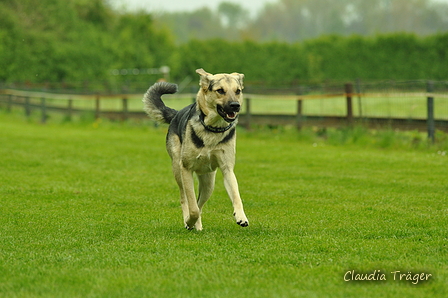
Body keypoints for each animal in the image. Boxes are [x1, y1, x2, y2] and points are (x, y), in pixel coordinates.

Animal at [143, 68, 248, 230]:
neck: (212, 128)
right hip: (177, 170)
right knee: (185, 199)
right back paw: (189, 222)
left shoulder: (227, 169)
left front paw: (241, 217)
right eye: (220, 90)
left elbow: (236, 196)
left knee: (200, 204)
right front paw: (189, 221)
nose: (235, 105)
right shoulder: (186, 169)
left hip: (209, 183)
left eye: (238, 91)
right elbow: (192, 206)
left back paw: (197, 226)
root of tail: (176, 114)